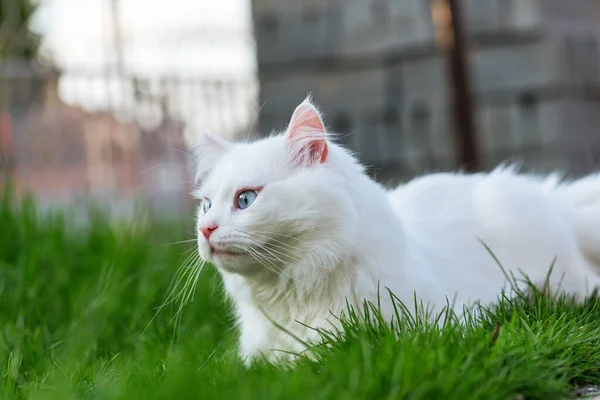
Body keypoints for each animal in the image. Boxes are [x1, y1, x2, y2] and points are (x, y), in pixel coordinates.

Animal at [192, 97, 600, 366]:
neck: (290, 294)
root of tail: (552, 196)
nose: (206, 229)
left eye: (246, 199)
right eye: (206, 205)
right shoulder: (261, 359)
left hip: (562, 280)